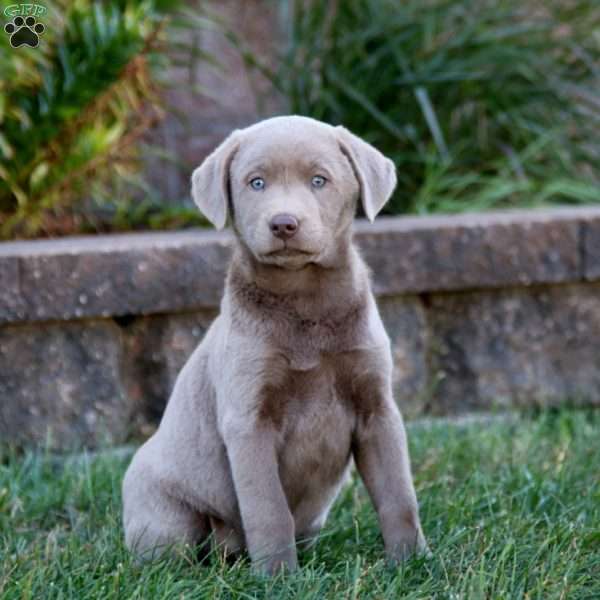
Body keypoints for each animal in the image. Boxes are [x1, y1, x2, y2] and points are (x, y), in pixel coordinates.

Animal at [122, 115, 424, 576]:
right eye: (256, 183)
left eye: (319, 180)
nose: (284, 223)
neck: (305, 299)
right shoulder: (249, 419)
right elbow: (268, 508)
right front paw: (279, 577)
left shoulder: (377, 409)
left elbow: (398, 495)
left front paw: (413, 564)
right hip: (166, 515)